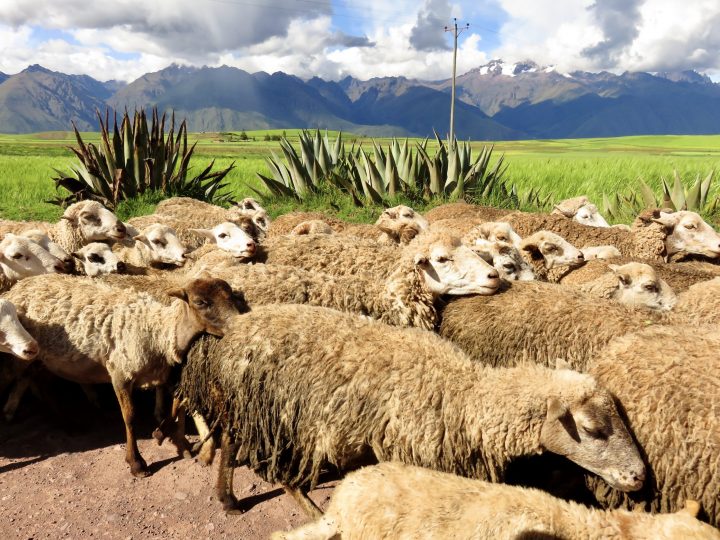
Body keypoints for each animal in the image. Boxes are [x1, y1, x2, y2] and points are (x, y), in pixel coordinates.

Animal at [1, 274, 245, 476]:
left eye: (231, 296)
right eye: (200, 302)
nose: (238, 326)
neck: (157, 329)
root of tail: (21, 283)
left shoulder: (165, 374)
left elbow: (178, 405)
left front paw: (174, 439)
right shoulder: (120, 374)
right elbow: (130, 417)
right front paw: (137, 463)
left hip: (40, 357)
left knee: (38, 381)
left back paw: (67, 421)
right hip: (28, 353)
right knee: (30, 380)